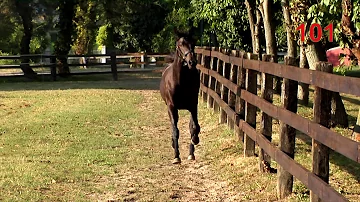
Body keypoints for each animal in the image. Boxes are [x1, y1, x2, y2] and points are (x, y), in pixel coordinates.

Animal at [160, 29, 200, 164]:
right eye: (181, 44)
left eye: (193, 43)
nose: (192, 62)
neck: (180, 81)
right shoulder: (172, 107)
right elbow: (175, 131)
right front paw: (176, 156)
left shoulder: (193, 105)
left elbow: (194, 127)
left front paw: (195, 140)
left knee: (191, 125)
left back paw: (191, 153)